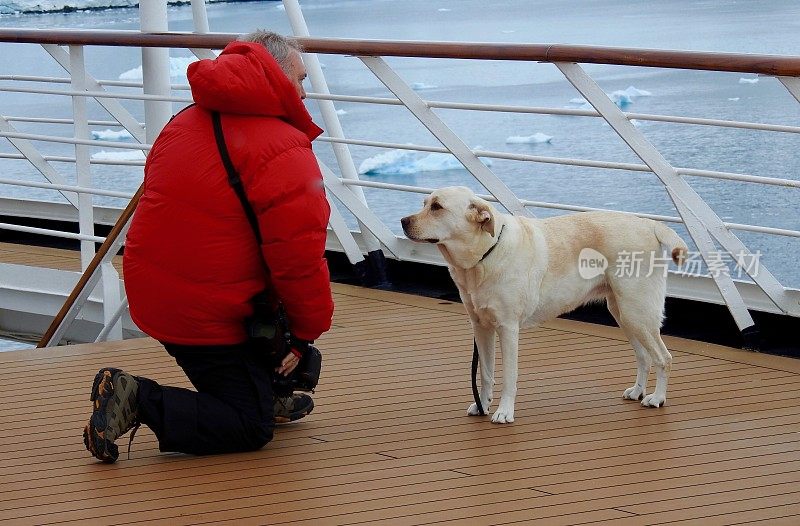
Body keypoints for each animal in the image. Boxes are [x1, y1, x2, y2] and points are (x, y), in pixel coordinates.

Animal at [400, 186, 688, 424]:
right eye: (425, 203)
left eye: (437, 207)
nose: (403, 221)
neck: (482, 256)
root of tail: (650, 224)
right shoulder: (480, 326)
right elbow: (485, 373)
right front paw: (482, 405)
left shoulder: (507, 328)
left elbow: (509, 376)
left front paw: (504, 412)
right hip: (623, 313)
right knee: (644, 357)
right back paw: (638, 391)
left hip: (637, 312)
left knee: (663, 358)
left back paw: (657, 398)